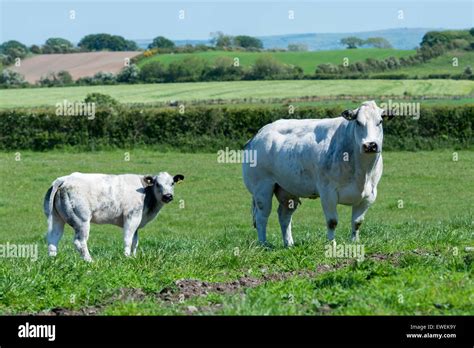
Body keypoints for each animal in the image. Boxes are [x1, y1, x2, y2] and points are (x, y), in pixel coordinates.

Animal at [43, 171, 183, 260]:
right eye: (157, 184)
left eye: (172, 183)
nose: (168, 196)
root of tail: (65, 179)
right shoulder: (132, 217)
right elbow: (128, 239)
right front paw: (127, 258)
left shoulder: (137, 221)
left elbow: (135, 242)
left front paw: (134, 257)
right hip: (81, 220)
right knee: (80, 242)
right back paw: (90, 261)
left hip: (56, 218)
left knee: (53, 239)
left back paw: (53, 261)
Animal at [244, 100, 388, 246]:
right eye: (358, 122)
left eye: (380, 121)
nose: (370, 145)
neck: (362, 172)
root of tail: (259, 134)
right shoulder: (328, 193)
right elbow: (332, 222)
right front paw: (332, 244)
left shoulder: (369, 195)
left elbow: (357, 222)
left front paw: (355, 243)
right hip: (262, 188)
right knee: (262, 216)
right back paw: (264, 244)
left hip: (287, 189)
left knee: (284, 216)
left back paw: (289, 244)